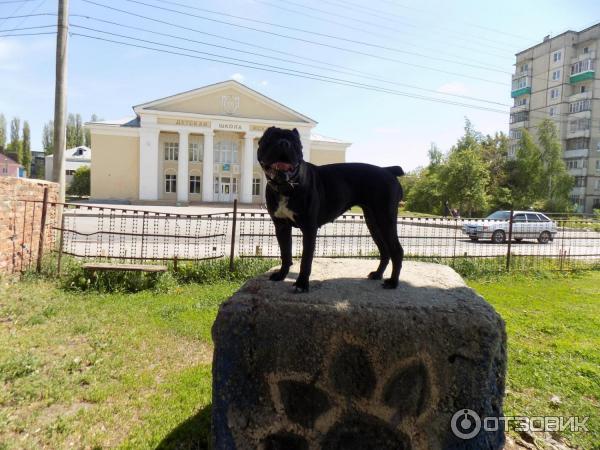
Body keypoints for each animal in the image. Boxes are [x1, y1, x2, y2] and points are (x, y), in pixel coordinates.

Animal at [258, 126, 404, 294]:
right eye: (270, 139)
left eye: (295, 143)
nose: (284, 143)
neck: (286, 186)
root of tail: (388, 170)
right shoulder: (281, 227)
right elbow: (285, 254)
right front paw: (281, 275)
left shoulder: (309, 229)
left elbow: (305, 260)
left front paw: (301, 284)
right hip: (373, 223)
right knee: (384, 250)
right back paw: (378, 274)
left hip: (385, 219)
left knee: (397, 250)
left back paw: (393, 282)